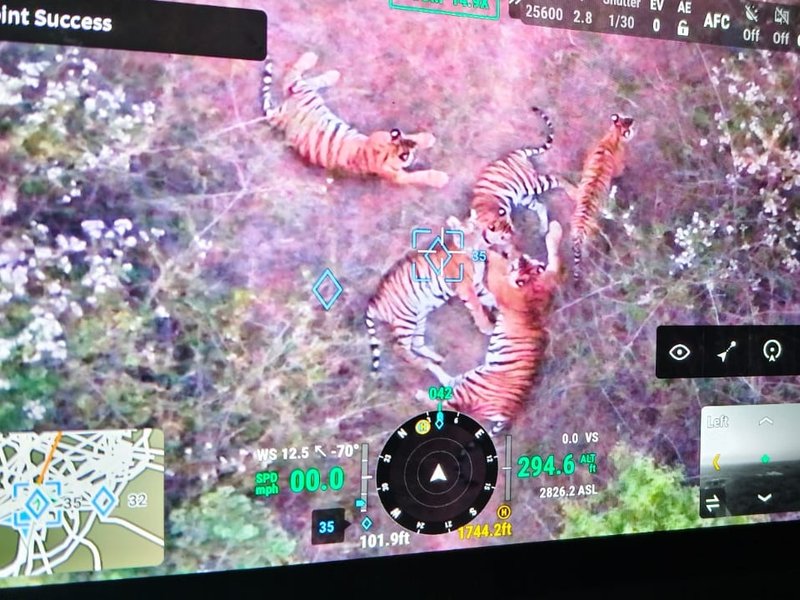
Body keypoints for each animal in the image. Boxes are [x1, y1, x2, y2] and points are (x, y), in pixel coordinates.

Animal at [261, 52, 449, 188]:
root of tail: (280, 115)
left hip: (310, 96)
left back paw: (332, 74)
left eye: (408, 147)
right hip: (306, 95)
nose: (413, 153)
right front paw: (440, 178)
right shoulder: (396, 175)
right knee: (292, 77)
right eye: (405, 154)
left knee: (305, 80)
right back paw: (314, 58)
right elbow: (418, 176)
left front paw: (426, 139)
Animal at [419, 220, 563, 433]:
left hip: (472, 385)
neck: (531, 287)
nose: (521, 259)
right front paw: (555, 231)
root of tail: (507, 413)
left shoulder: (501, 283)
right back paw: (429, 364)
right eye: (527, 265)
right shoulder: (548, 277)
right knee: (448, 383)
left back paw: (420, 392)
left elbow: (494, 260)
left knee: (447, 403)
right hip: (469, 377)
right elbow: (554, 256)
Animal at [470, 106, 561, 239]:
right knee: (541, 206)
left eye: (510, 226)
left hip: (530, 184)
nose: (513, 234)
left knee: (556, 179)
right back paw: (543, 230)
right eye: (504, 233)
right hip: (524, 196)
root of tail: (515, 153)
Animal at [569, 113, 636, 280]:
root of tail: (580, 229)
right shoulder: (619, 168)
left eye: (625, 117)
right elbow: (622, 172)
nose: (633, 119)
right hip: (593, 233)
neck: (612, 137)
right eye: (628, 123)